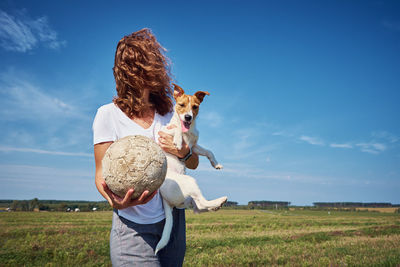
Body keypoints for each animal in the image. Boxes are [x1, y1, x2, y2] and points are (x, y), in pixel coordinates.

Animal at [155, 84, 227, 255]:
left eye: (195, 107)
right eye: (181, 105)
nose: (188, 117)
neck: (189, 130)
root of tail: (165, 199)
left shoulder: (194, 147)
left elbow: (209, 152)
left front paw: (216, 164)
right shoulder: (164, 133)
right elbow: (176, 129)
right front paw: (178, 139)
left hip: (188, 197)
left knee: (199, 207)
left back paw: (217, 205)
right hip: (190, 182)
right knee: (202, 203)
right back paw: (220, 201)